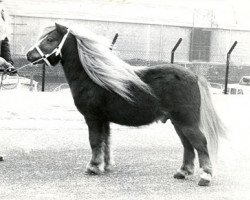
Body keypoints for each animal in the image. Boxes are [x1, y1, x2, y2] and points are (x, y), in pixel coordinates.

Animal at [26, 23, 226, 186]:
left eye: (50, 39)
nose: (29, 55)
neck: (91, 77)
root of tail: (195, 76)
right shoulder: (104, 120)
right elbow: (105, 142)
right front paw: (104, 166)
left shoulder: (93, 118)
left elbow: (94, 141)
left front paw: (93, 167)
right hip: (178, 123)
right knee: (187, 145)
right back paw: (183, 172)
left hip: (186, 122)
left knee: (200, 143)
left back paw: (205, 177)